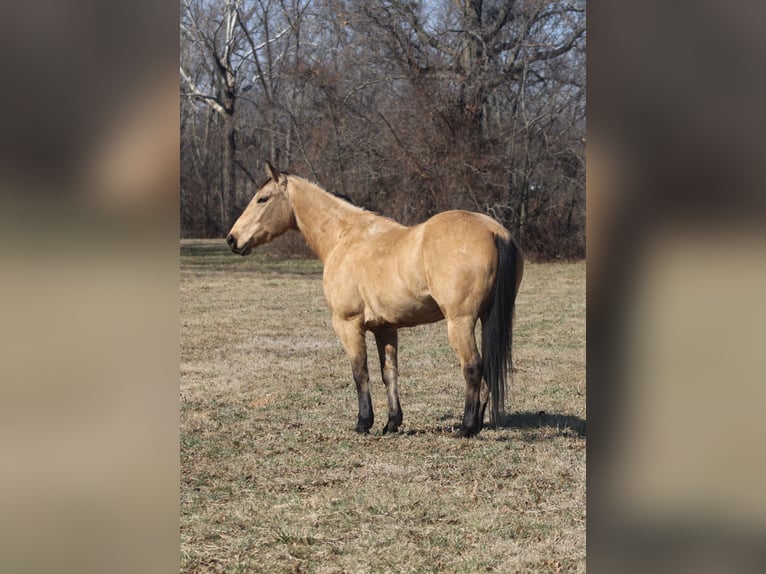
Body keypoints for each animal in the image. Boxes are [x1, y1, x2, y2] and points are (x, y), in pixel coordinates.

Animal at [228, 162, 524, 436]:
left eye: (262, 198)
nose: (232, 239)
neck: (344, 238)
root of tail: (493, 230)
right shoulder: (386, 329)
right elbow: (389, 373)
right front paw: (392, 423)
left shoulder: (347, 324)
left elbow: (360, 373)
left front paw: (363, 422)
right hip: (485, 319)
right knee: (487, 368)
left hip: (460, 322)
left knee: (472, 366)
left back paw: (467, 427)